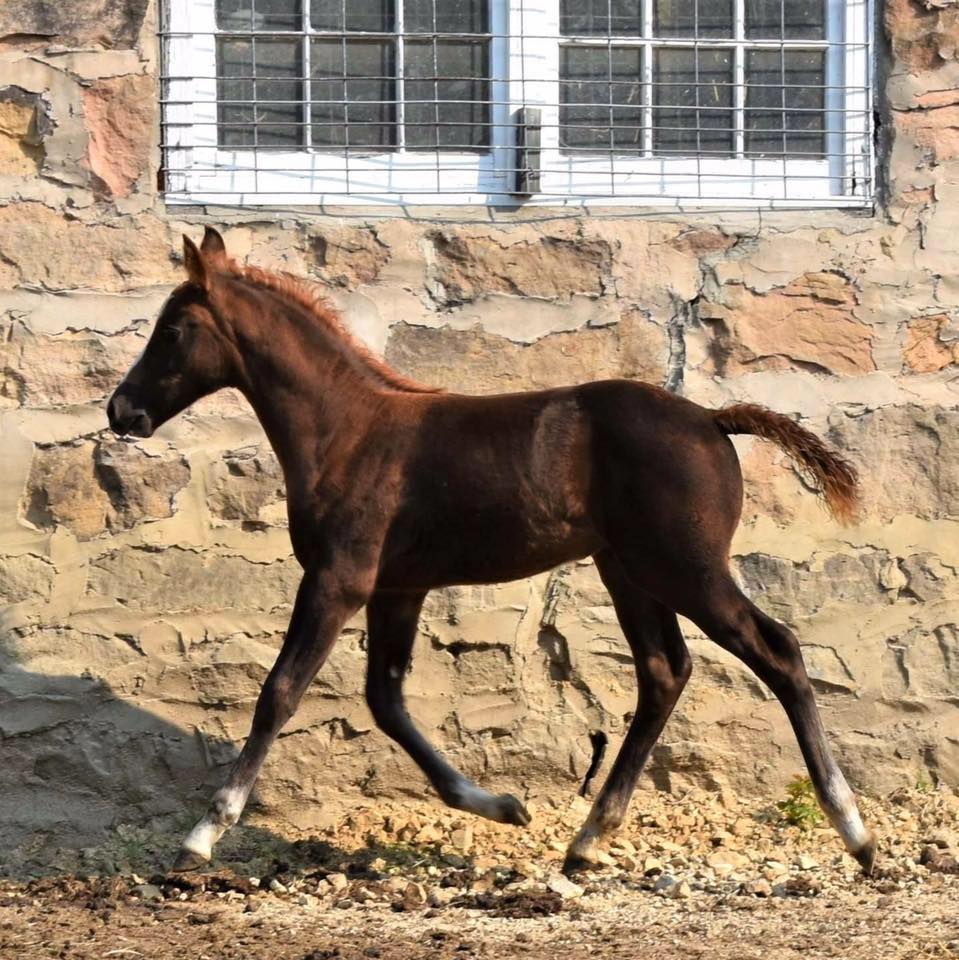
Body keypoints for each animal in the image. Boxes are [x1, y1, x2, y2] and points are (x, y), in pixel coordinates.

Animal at [105, 231, 876, 876]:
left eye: (173, 330)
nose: (121, 411)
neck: (348, 429)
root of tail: (713, 419)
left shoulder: (337, 580)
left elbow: (280, 691)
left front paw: (204, 833)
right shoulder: (397, 588)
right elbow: (385, 700)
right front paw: (503, 806)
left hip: (685, 569)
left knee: (776, 651)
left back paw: (855, 833)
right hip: (629, 572)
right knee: (664, 672)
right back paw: (586, 841)